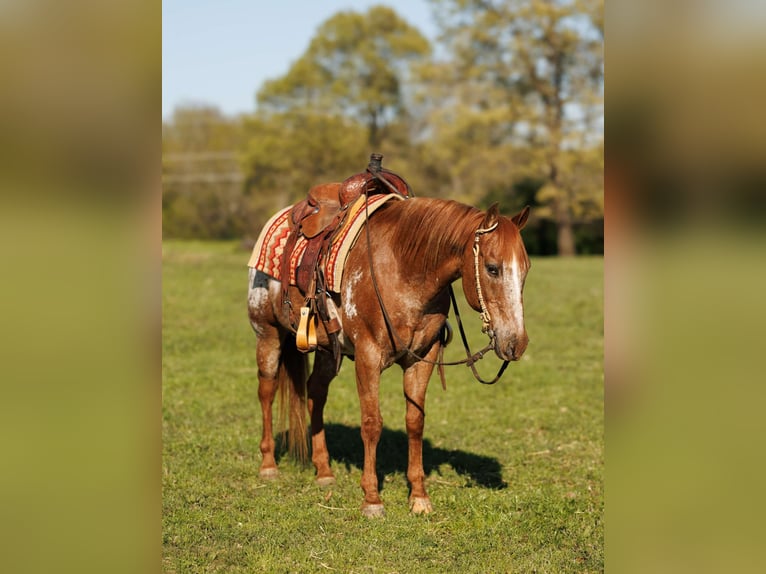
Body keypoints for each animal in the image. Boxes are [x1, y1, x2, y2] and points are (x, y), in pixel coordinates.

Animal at [248, 197, 530, 517]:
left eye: (526, 269)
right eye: (493, 268)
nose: (517, 343)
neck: (403, 270)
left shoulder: (422, 357)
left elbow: (415, 422)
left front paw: (419, 497)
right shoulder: (368, 356)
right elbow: (372, 423)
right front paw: (372, 499)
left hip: (328, 351)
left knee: (315, 392)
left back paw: (324, 472)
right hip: (267, 333)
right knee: (267, 391)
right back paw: (269, 466)